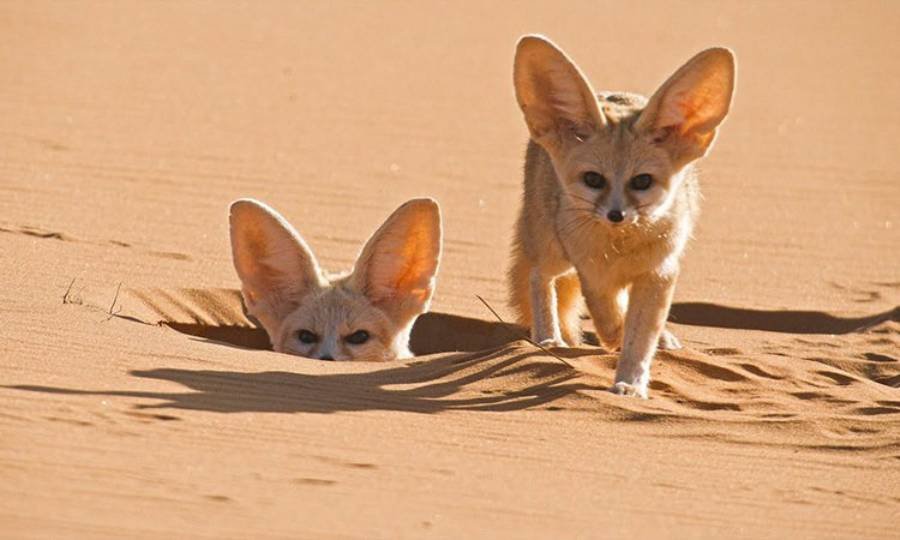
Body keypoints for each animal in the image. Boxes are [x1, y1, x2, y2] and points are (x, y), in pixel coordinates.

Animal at [508, 35, 735, 397]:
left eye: (641, 182)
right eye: (593, 179)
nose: (616, 215)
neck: (620, 249)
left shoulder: (659, 273)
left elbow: (639, 335)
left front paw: (631, 382)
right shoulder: (593, 275)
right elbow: (612, 320)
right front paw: (615, 344)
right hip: (555, 252)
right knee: (538, 276)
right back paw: (549, 339)